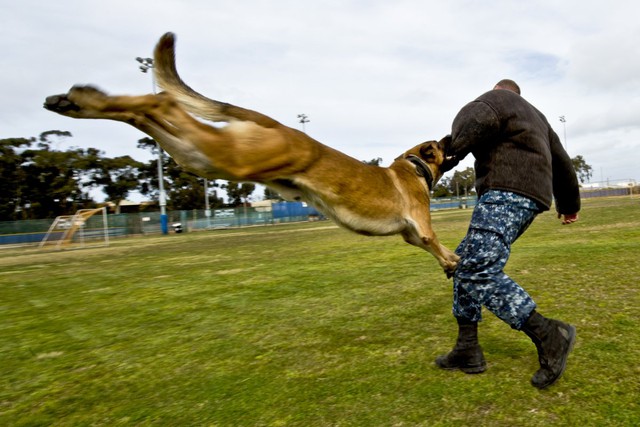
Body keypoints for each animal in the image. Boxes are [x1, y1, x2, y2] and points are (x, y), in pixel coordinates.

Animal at [45, 31, 460, 276]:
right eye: (441, 147)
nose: (450, 136)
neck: (412, 166)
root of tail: (273, 123)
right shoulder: (420, 227)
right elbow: (435, 241)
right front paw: (452, 260)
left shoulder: (408, 236)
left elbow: (433, 247)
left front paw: (451, 262)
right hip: (230, 156)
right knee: (162, 102)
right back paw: (85, 98)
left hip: (202, 157)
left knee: (147, 116)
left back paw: (76, 101)